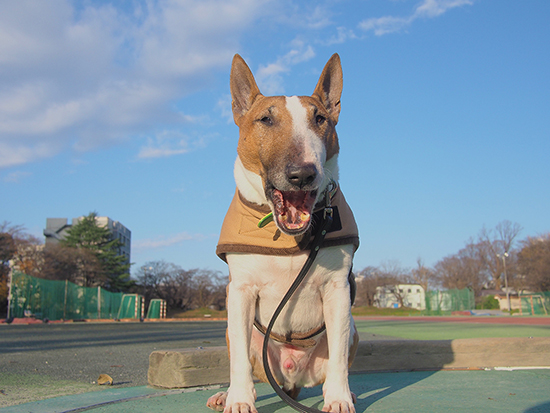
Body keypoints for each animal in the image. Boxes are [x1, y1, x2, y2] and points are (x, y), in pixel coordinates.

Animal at [209, 54, 360, 412]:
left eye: (320, 118)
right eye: (265, 119)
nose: (302, 174)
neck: (288, 238)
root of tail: (290, 382)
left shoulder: (337, 290)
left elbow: (339, 359)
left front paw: (339, 399)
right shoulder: (240, 291)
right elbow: (239, 362)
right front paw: (239, 400)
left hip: (352, 329)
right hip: (235, 332)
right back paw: (225, 394)